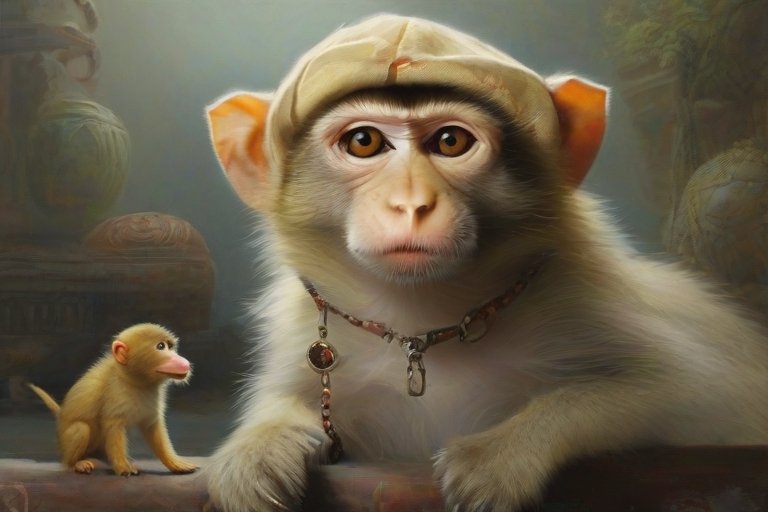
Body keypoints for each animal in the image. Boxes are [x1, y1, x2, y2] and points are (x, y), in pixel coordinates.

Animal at [28, 323, 199, 476]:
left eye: (170, 347)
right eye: (161, 346)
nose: (183, 361)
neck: (132, 380)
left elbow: (152, 427)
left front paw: (174, 463)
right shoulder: (115, 393)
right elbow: (113, 427)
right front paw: (122, 466)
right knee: (80, 428)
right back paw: (75, 463)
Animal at [202, 14, 768, 512]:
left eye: (450, 141)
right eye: (364, 142)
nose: (411, 203)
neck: (423, 326)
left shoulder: (588, 304)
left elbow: (694, 396)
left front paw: (500, 454)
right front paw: (259, 444)